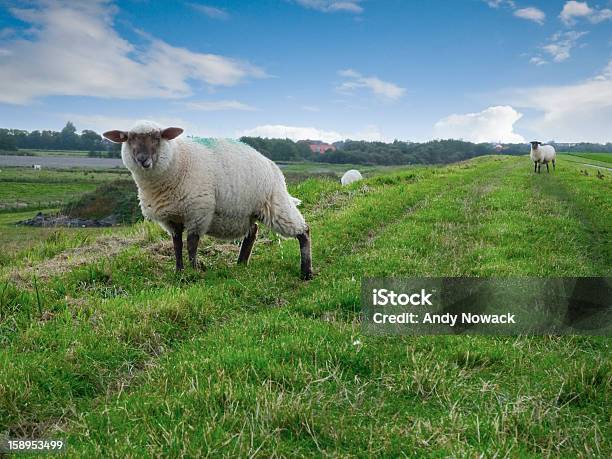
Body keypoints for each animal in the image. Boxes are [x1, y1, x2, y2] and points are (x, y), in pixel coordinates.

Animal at [103, 121, 314, 280]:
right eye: (129, 139)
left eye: (157, 138)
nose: (142, 160)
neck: (176, 162)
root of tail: (271, 164)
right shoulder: (171, 219)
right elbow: (177, 244)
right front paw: (179, 271)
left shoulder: (198, 211)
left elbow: (191, 243)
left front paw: (194, 270)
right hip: (248, 211)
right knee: (252, 231)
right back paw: (241, 264)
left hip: (275, 202)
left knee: (303, 231)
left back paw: (306, 272)